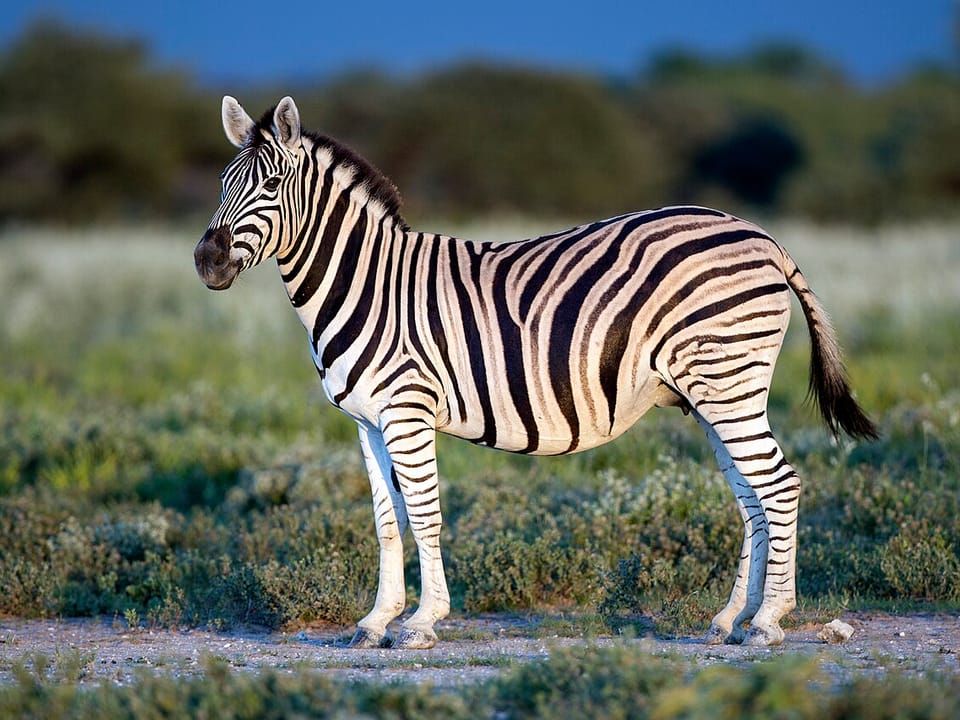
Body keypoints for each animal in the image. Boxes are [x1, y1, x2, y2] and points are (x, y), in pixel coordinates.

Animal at [195, 96, 877, 650]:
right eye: (223, 184)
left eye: (269, 185)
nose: (206, 261)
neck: (366, 282)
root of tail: (761, 236)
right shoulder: (366, 420)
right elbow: (387, 521)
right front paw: (375, 621)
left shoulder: (408, 410)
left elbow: (424, 514)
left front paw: (421, 623)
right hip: (713, 391)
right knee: (753, 498)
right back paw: (731, 619)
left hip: (728, 381)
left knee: (779, 485)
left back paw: (768, 623)